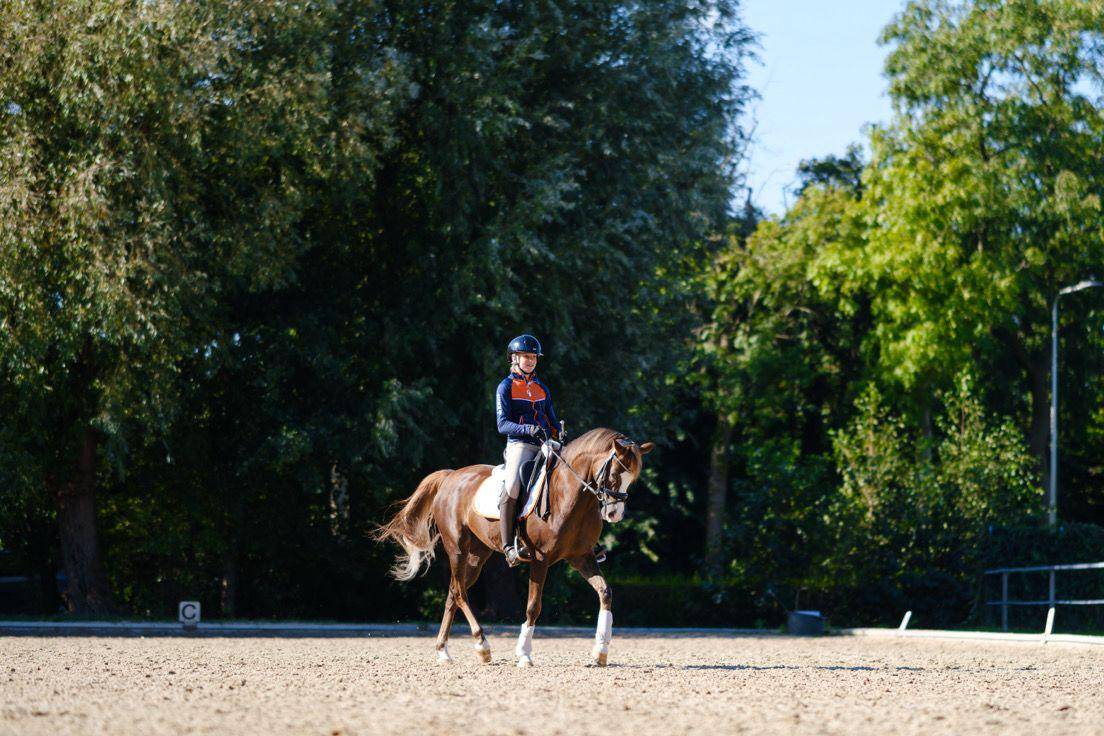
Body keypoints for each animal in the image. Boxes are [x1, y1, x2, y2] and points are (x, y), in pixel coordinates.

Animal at [376, 427, 654, 667]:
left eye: (632, 479)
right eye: (615, 473)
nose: (615, 514)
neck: (572, 495)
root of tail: (450, 476)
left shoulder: (581, 557)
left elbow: (605, 593)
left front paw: (601, 651)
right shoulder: (541, 559)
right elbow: (533, 606)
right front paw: (524, 654)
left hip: (478, 555)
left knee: (453, 593)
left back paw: (444, 651)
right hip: (457, 549)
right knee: (460, 592)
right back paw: (482, 645)